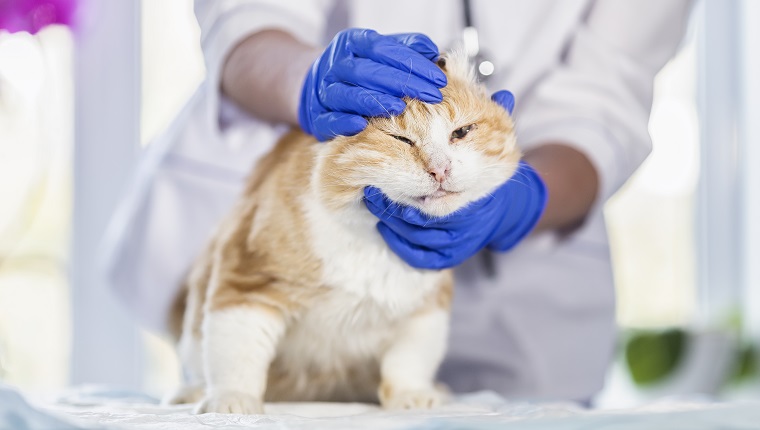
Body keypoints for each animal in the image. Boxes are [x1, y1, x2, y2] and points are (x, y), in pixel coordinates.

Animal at [166, 49, 524, 414]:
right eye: (401, 139)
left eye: (461, 132)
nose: (441, 169)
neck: (376, 246)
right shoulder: (247, 282)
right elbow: (237, 353)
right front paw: (232, 400)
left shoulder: (425, 309)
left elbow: (409, 361)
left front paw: (412, 396)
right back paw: (190, 393)